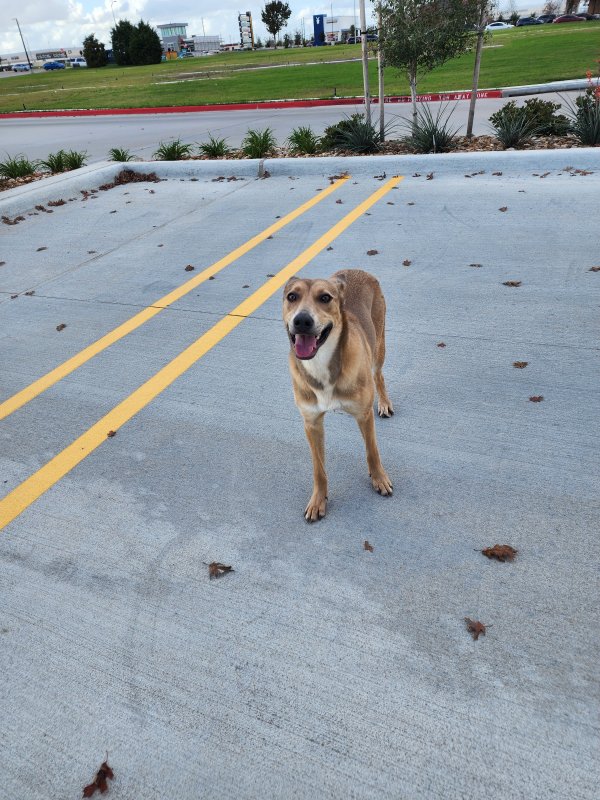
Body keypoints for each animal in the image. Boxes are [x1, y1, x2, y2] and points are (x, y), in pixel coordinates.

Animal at [282, 268, 394, 520]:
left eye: (325, 297)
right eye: (292, 296)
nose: (302, 321)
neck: (321, 363)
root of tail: (358, 270)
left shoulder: (363, 415)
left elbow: (372, 451)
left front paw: (379, 478)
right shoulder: (311, 423)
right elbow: (319, 469)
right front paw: (318, 500)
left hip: (378, 346)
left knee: (379, 376)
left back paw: (384, 403)